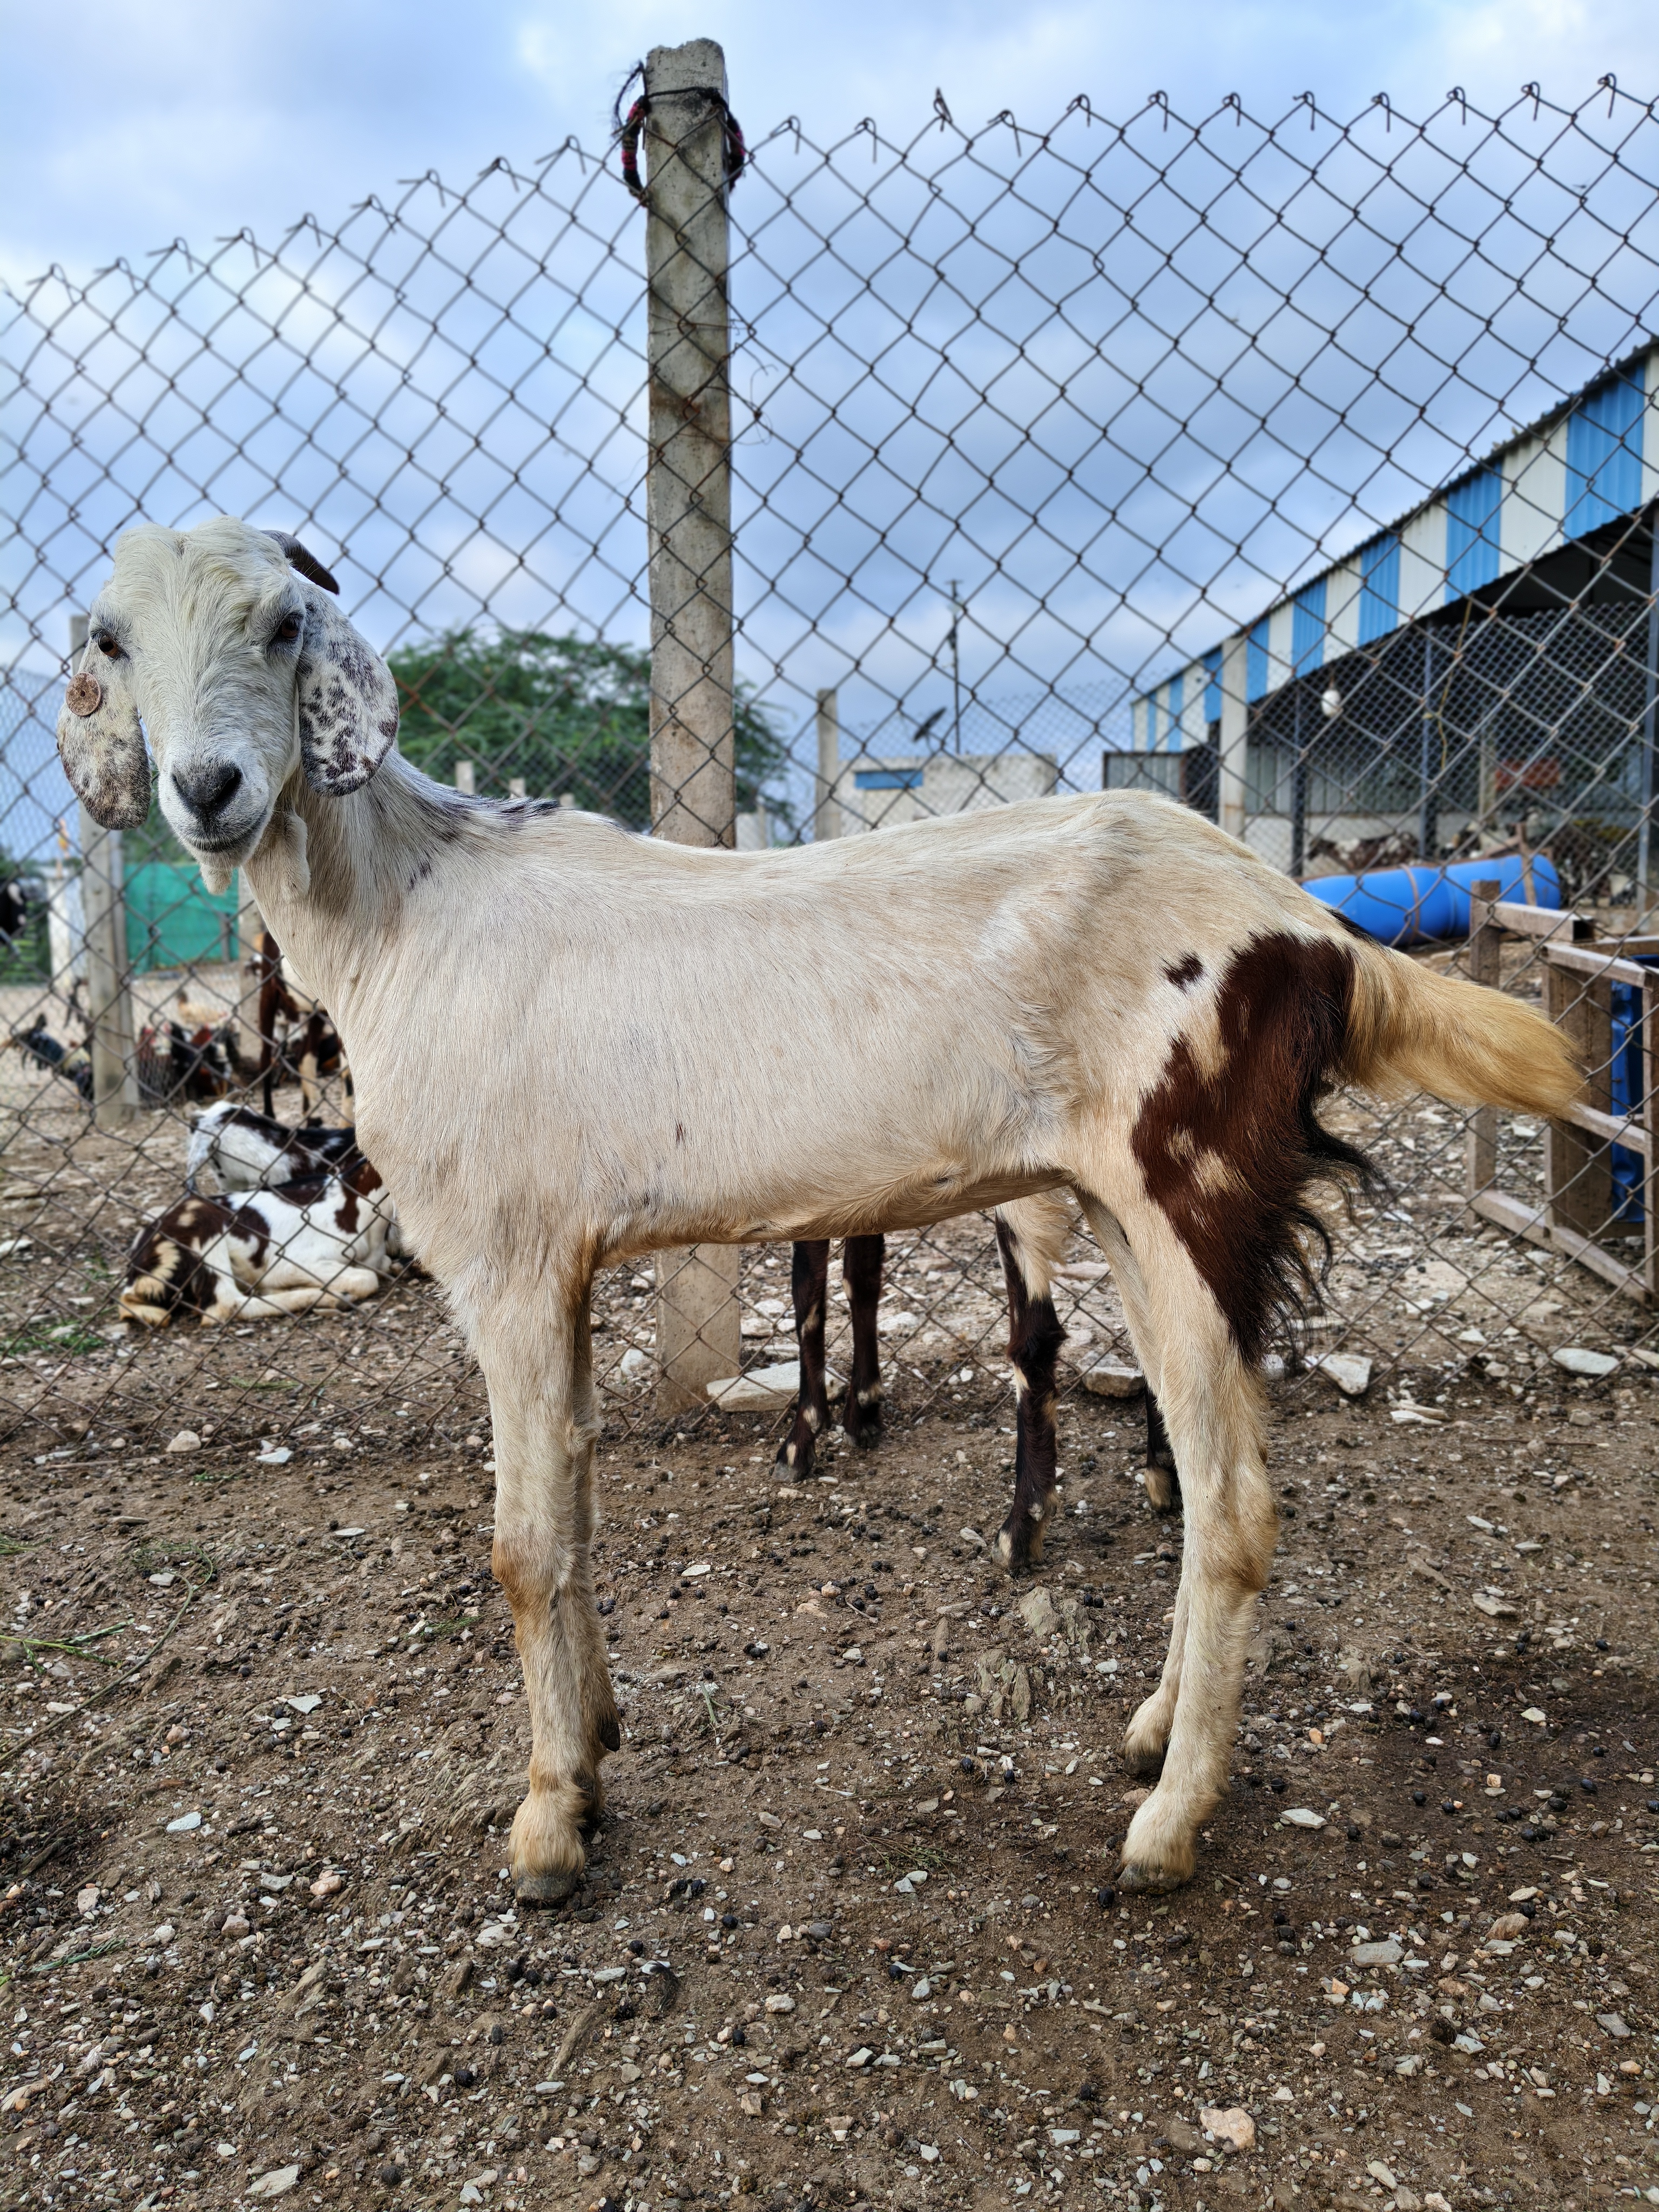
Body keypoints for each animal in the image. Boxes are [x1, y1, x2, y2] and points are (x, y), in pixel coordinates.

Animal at [120, 1156, 395, 1325]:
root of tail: (135, 1275)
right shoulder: (289, 1261)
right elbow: (367, 1278)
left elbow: (382, 1266)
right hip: (203, 1223)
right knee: (225, 1304)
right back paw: (331, 1297)